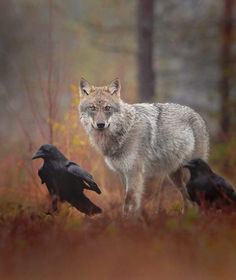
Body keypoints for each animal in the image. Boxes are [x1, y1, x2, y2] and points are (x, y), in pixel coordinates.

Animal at [78, 79, 209, 214]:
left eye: (107, 108)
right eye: (92, 108)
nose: (100, 124)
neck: (124, 131)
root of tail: (197, 114)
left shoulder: (134, 173)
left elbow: (129, 203)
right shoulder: (122, 174)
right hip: (175, 176)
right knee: (188, 201)